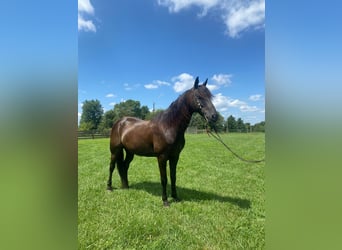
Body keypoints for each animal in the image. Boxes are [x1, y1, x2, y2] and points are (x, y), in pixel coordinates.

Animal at [107, 77, 218, 206]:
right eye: (199, 97)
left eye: (210, 96)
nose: (214, 116)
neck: (168, 126)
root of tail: (119, 122)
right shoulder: (162, 157)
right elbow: (164, 179)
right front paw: (165, 201)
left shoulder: (175, 156)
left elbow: (173, 177)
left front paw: (175, 197)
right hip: (115, 151)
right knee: (111, 167)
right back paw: (109, 187)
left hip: (130, 152)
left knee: (124, 166)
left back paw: (126, 186)